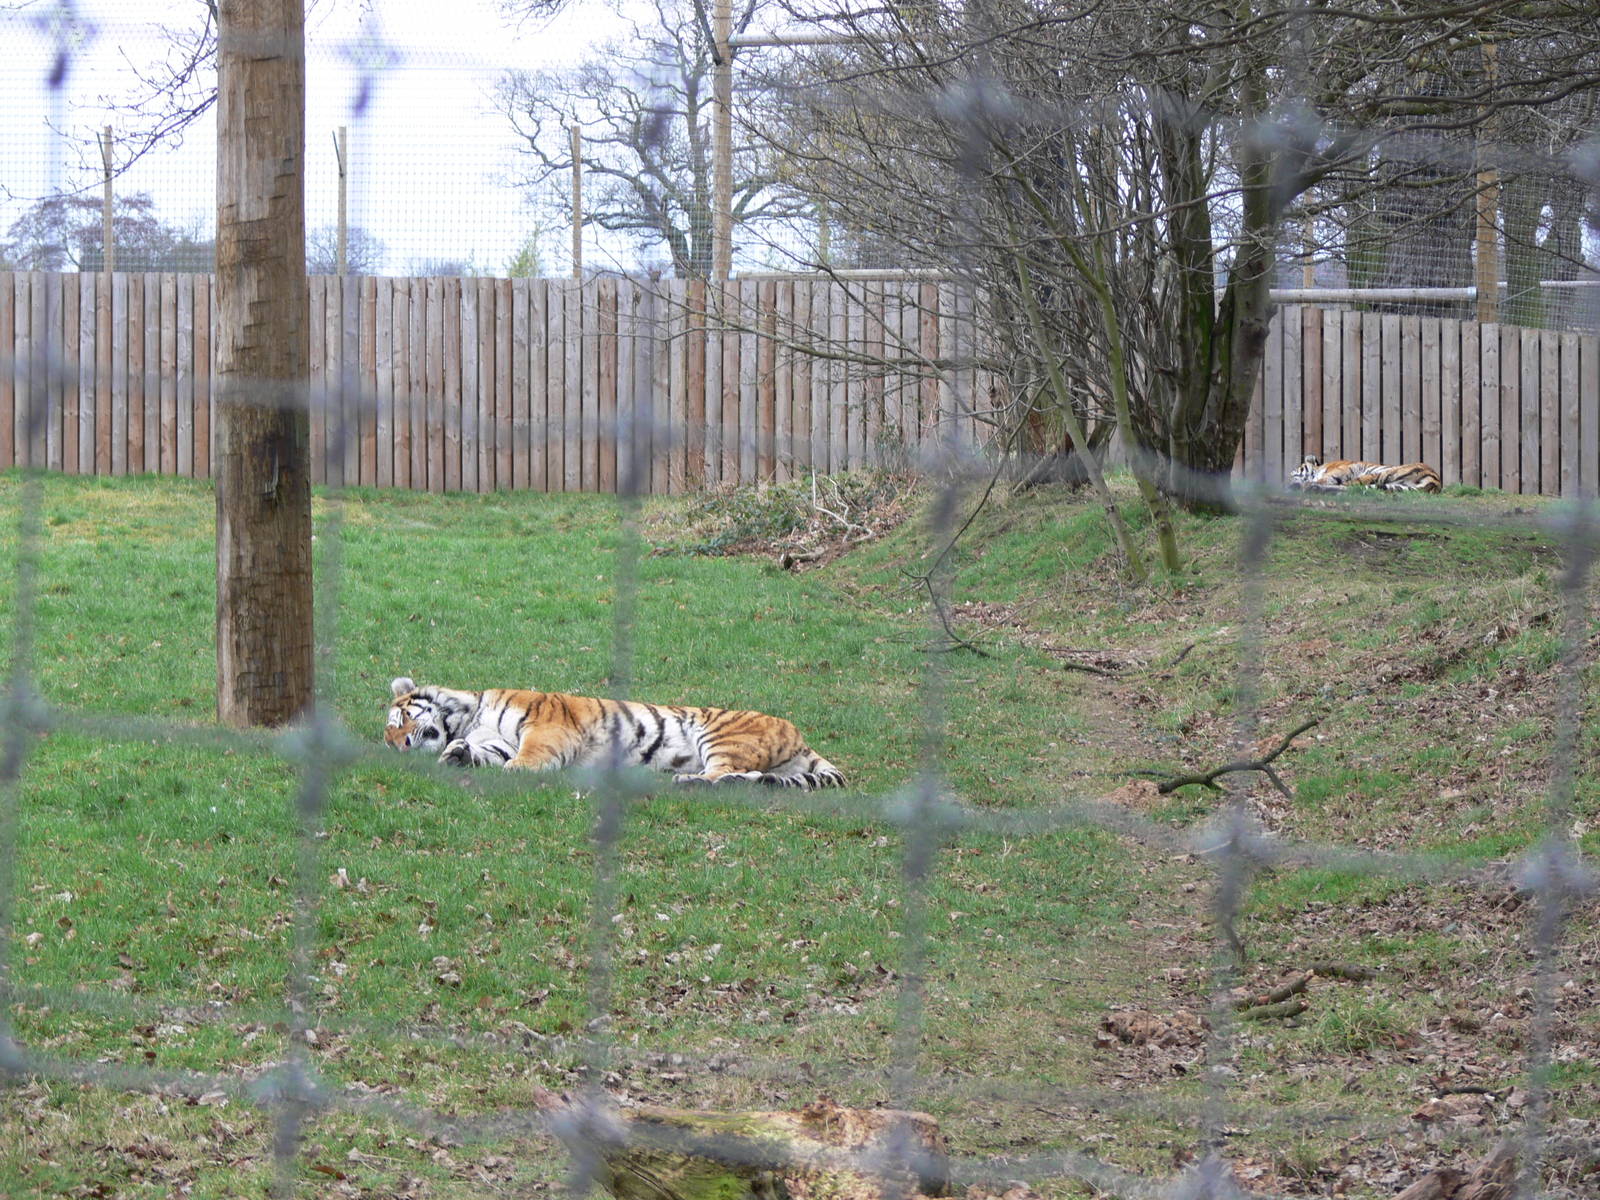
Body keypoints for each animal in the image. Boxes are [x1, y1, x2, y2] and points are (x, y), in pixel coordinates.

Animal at [1287, 454, 1442, 494]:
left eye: (1293, 473)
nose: (1287, 484)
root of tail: (1436, 483)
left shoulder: (1339, 470)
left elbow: (1325, 478)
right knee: (1351, 488)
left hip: (1381, 474)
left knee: (1349, 486)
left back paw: (1313, 487)